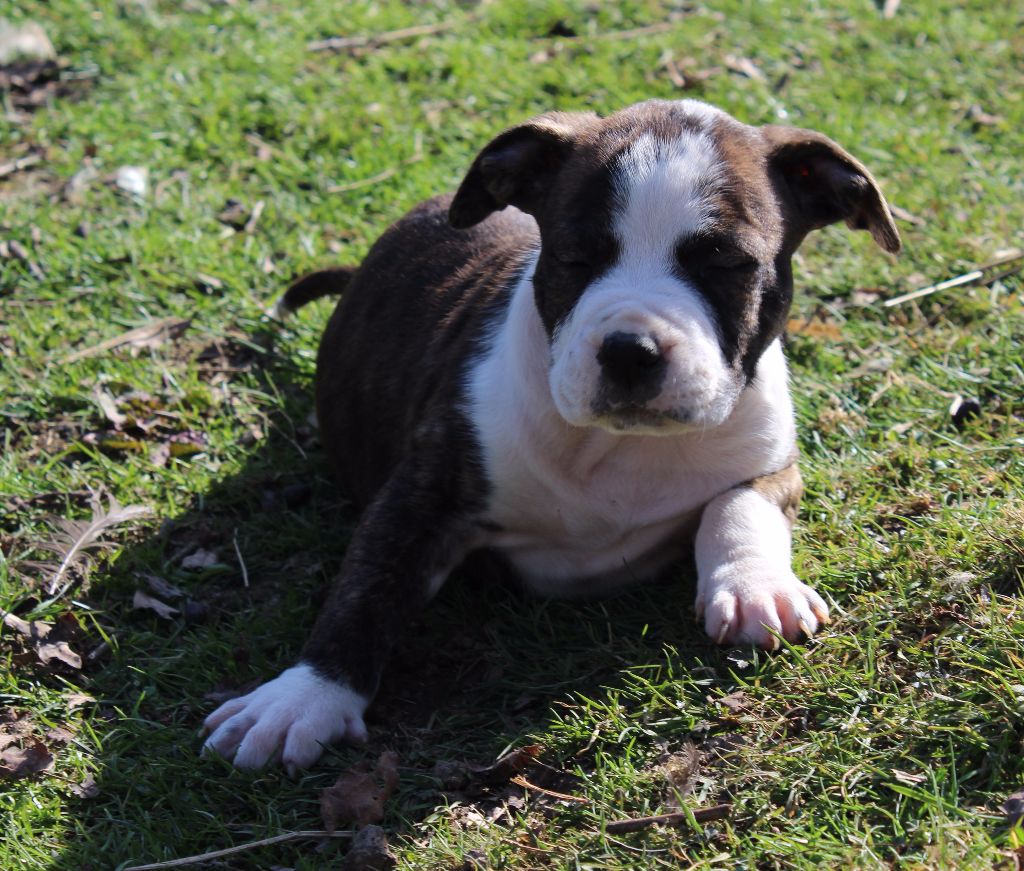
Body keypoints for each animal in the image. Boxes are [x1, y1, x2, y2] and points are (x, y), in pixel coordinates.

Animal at [197, 98, 897, 773]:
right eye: (571, 256)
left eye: (726, 262)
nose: (630, 350)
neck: (619, 446)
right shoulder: (421, 496)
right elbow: (365, 592)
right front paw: (302, 697)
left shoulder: (772, 462)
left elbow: (737, 503)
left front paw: (755, 587)